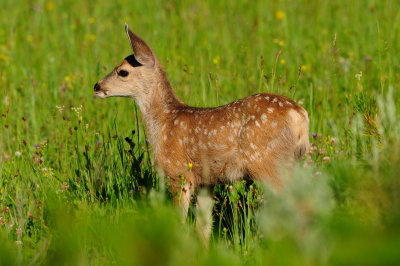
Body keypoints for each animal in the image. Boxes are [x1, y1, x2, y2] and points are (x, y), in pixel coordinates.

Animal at [94, 23, 310, 244]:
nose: (97, 86)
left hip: (269, 162)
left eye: (123, 72)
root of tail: (300, 116)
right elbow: (203, 227)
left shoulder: (178, 172)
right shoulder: (206, 181)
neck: (163, 122)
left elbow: (179, 221)